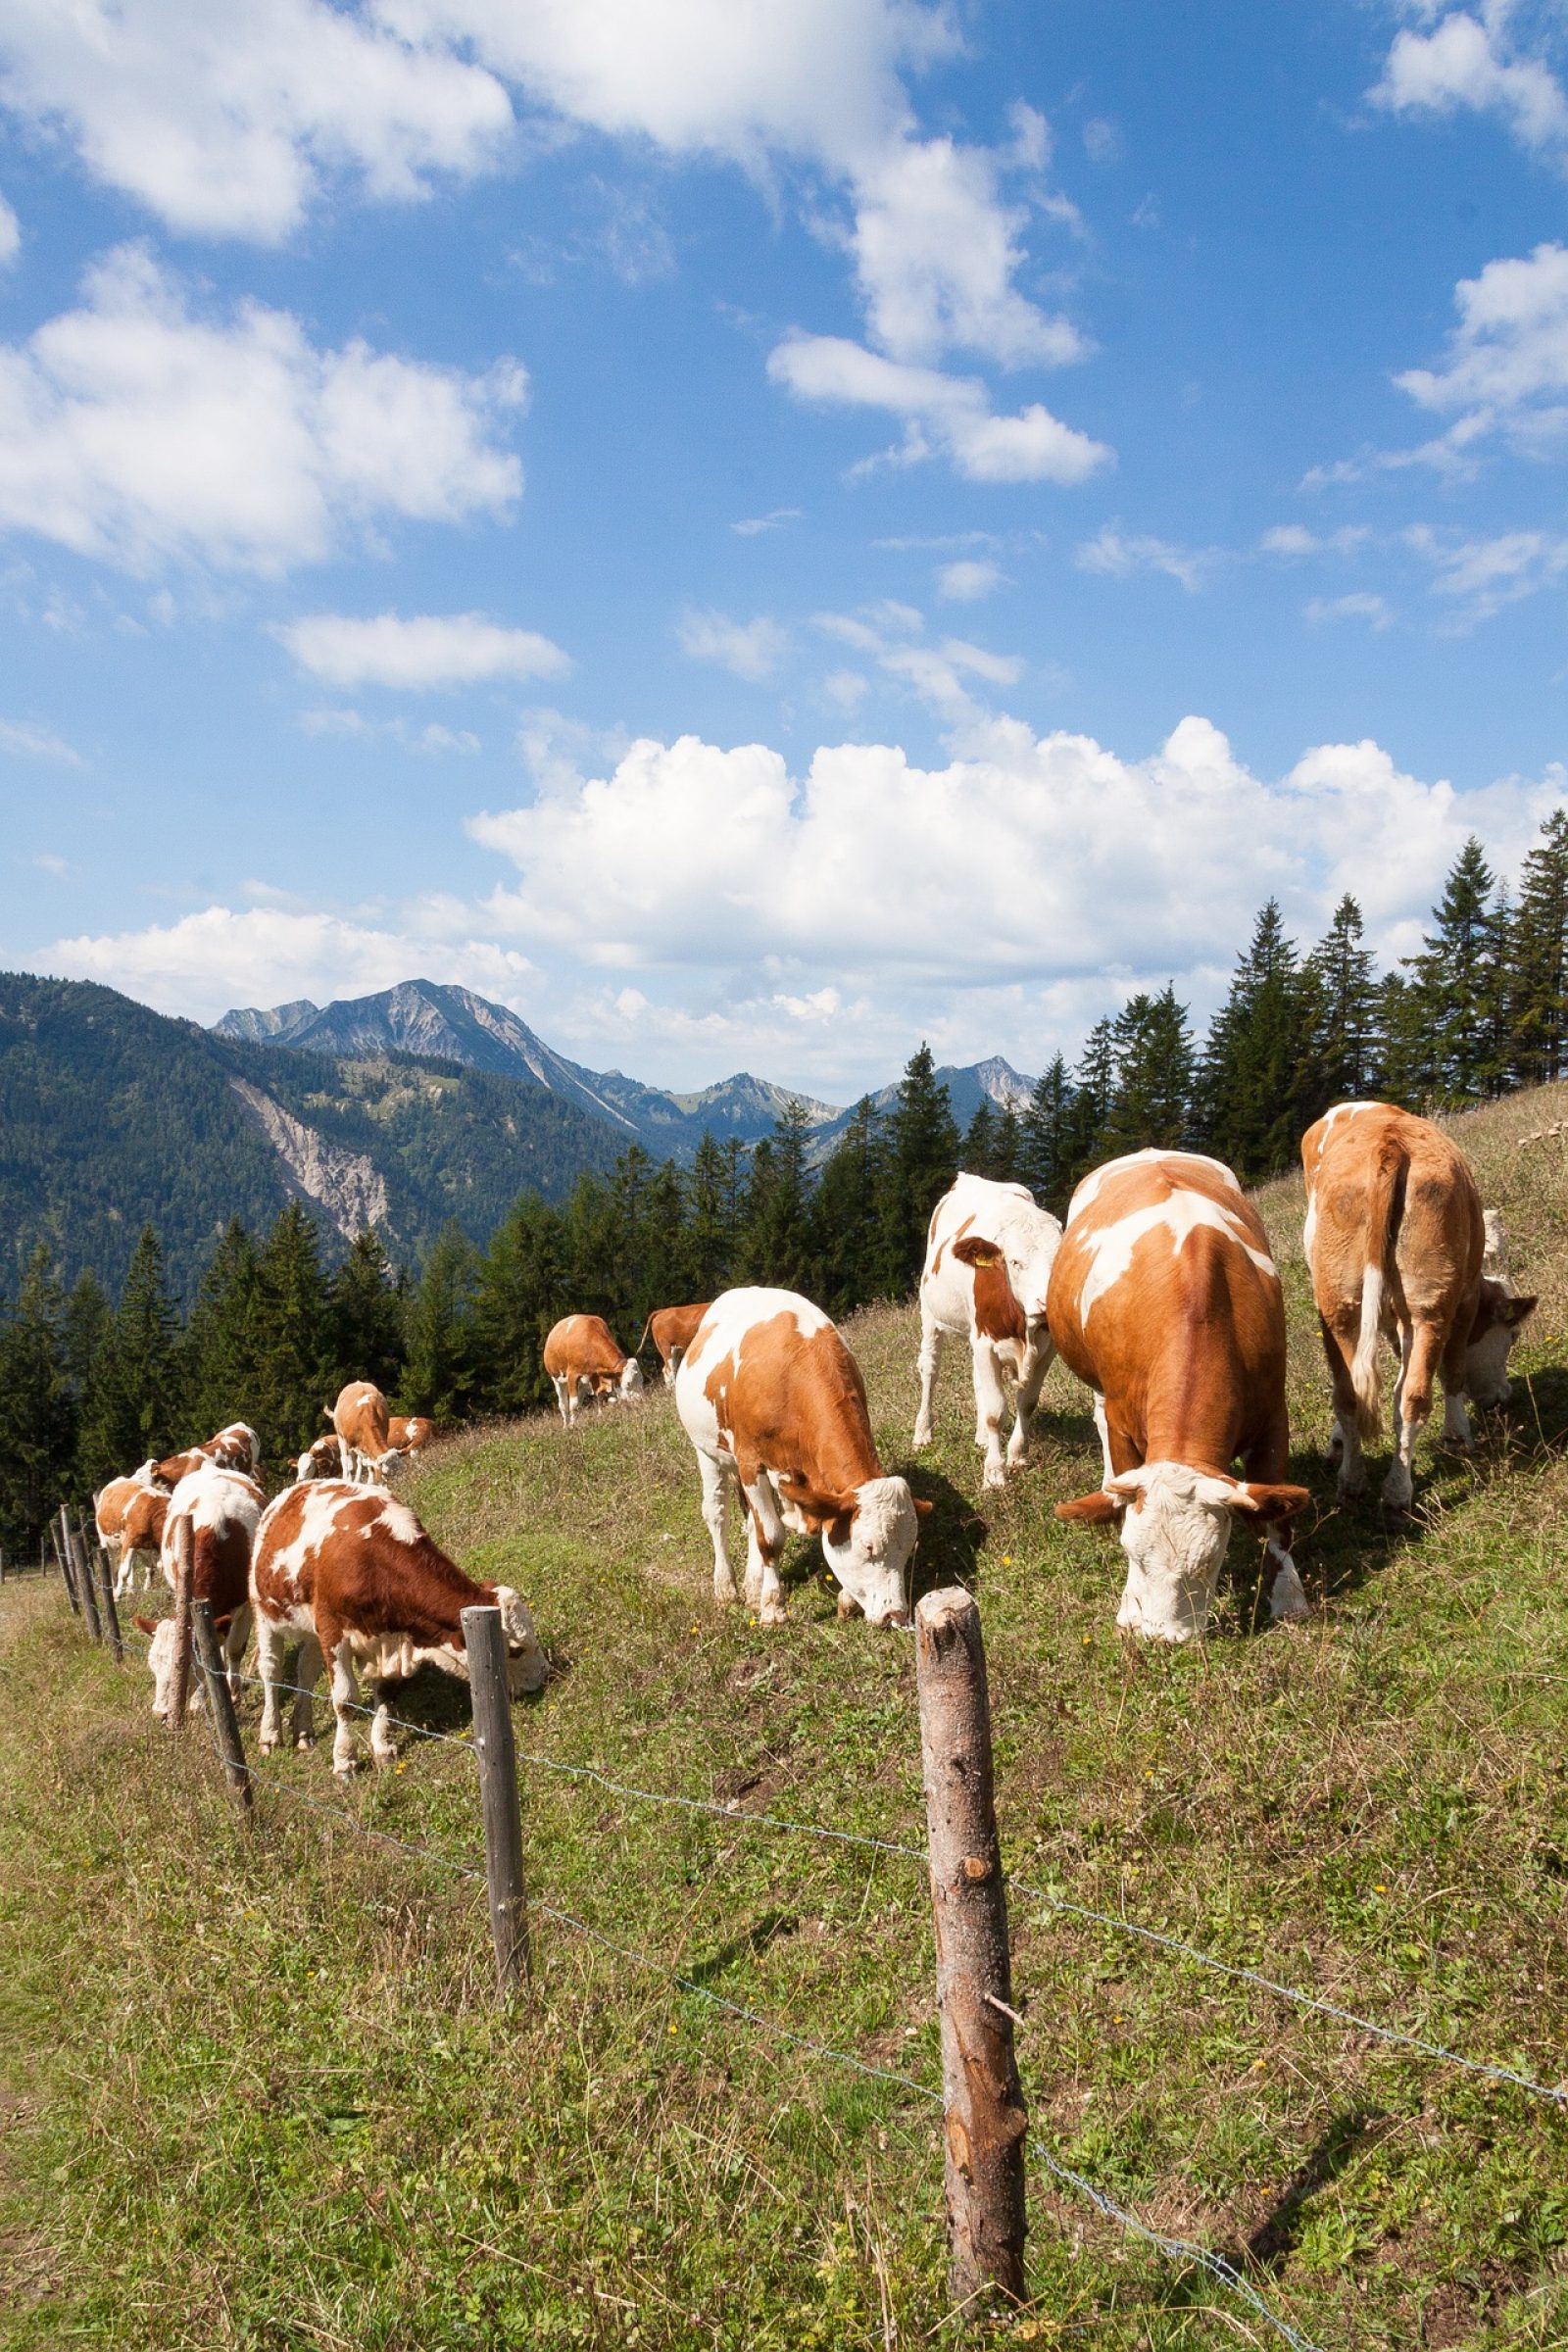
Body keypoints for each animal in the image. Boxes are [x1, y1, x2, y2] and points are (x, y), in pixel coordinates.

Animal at [250, 1486, 545, 1778]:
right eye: (516, 1649)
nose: (542, 1677)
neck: (372, 1562)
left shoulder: (387, 1638)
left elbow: (387, 1692)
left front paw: (382, 1747)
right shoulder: (332, 1631)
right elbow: (345, 1700)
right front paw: (345, 1759)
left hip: (310, 1629)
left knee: (306, 1670)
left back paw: (303, 1729)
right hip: (264, 1613)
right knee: (271, 1671)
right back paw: (270, 1734)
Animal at [676, 1289, 930, 1637]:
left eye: (909, 1547)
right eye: (868, 1547)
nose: (896, 1615)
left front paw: (845, 1600)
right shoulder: (751, 1462)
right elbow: (770, 1537)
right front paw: (773, 1610)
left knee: (751, 1519)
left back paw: (752, 1587)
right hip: (707, 1450)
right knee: (718, 1514)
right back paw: (726, 1589)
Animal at [911, 1176, 1062, 1486]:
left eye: (1059, 1260)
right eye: (1015, 1262)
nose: (1046, 1303)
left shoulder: (1047, 1349)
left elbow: (1027, 1403)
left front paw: (1017, 1455)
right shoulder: (985, 1343)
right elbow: (996, 1411)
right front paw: (994, 1473)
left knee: (977, 1380)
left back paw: (981, 1436)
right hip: (930, 1315)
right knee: (930, 1369)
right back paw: (922, 1433)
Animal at [1053, 1152, 1316, 1637]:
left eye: (1210, 1560)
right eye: (1132, 1554)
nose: (1163, 1638)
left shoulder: (1273, 1413)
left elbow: (1276, 1522)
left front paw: (1289, 1597)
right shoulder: (1122, 1422)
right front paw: (1129, 1609)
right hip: (1096, 1384)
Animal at [1298, 1096, 1533, 1514]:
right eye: (1513, 1336)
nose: (1501, 1398)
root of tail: (1390, 1144)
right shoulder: (1463, 1302)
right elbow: (1452, 1369)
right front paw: (1458, 1436)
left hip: (1337, 1304)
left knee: (1350, 1394)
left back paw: (1352, 1480)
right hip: (1431, 1304)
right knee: (1415, 1397)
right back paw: (1397, 1495)